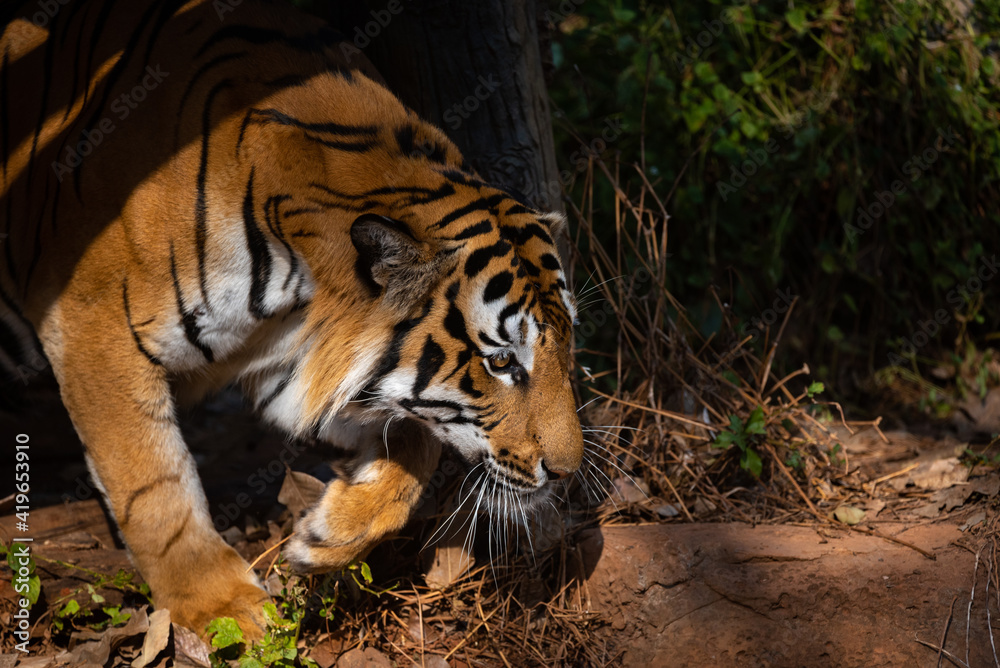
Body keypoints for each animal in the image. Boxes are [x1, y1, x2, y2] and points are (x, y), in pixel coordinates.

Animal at [0, 0, 583, 638]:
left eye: (566, 347)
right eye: (500, 361)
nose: (568, 473)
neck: (300, 283)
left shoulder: (291, 361)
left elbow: (416, 438)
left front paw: (325, 539)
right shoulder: (93, 327)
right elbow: (152, 484)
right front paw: (225, 612)